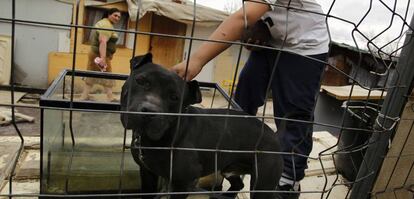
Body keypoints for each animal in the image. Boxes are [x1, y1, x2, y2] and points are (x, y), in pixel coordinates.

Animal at [119, 53, 282, 199]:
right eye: (141, 81)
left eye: (174, 97)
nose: (149, 111)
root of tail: (274, 134)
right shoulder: (147, 173)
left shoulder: (184, 183)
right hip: (229, 169)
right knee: (238, 184)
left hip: (262, 184)